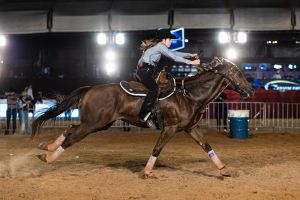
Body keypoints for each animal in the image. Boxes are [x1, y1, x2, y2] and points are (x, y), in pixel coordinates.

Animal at [32, 57, 253, 178]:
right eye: (238, 73)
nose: (250, 90)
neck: (189, 95)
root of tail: (91, 88)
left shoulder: (191, 128)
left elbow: (207, 146)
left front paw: (223, 169)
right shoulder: (170, 128)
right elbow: (157, 148)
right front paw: (147, 171)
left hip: (99, 124)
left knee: (70, 128)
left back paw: (47, 147)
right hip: (93, 124)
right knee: (71, 138)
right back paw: (49, 157)